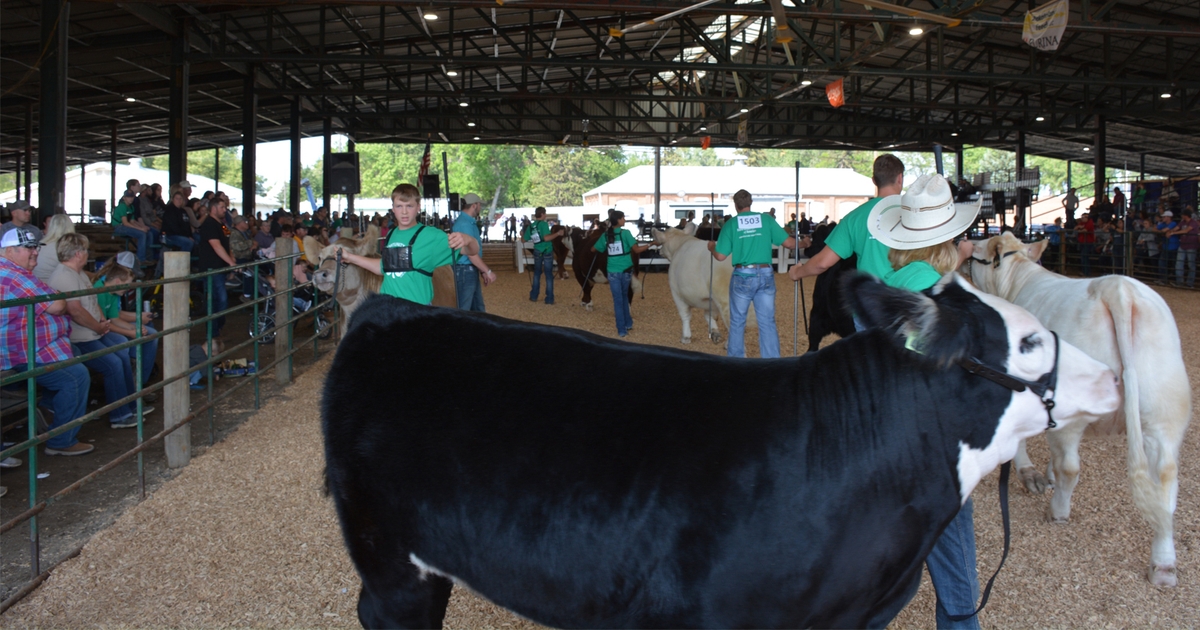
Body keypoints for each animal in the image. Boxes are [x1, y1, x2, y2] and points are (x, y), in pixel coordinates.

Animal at [964, 232, 1190, 588]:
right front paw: (1046, 475)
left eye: (978, 249)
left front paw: (1031, 473)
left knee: (1072, 466)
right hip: (1166, 407)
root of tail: (1117, 288)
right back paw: (1164, 564)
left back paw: (1058, 511)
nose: (966, 248)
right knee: (1166, 479)